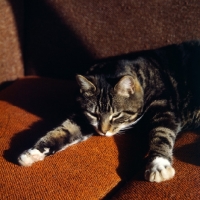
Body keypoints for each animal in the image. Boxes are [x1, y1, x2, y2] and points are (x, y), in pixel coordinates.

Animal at [18, 40, 200, 183]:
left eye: (116, 115)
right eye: (94, 114)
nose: (103, 131)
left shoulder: (163, 107)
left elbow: (161, 134)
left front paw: (158, 164)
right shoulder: (82, 117)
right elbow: (63, 130)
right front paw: (33, 152)